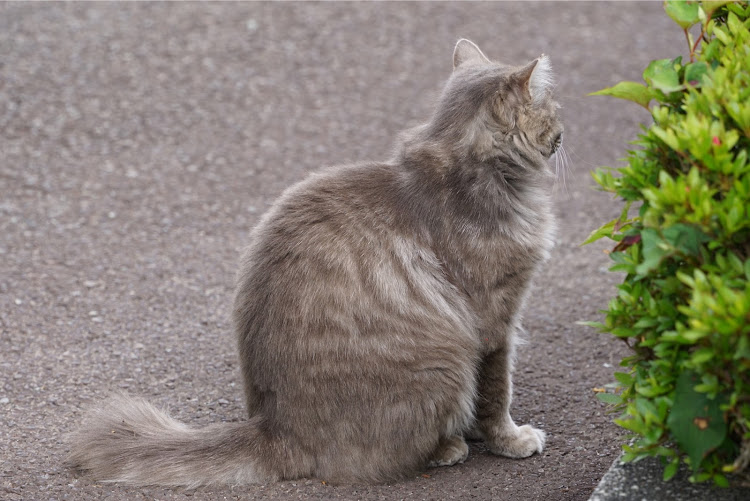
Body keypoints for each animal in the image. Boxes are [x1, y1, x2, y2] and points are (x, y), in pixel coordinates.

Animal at [67, 39, 564, 484]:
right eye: (554, 108)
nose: (564, 130)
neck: (477, 173)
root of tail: (276, 429)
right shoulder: (495, 320)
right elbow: (497, 393)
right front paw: (510, 440)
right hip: (447, 359)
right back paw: (449, 446)